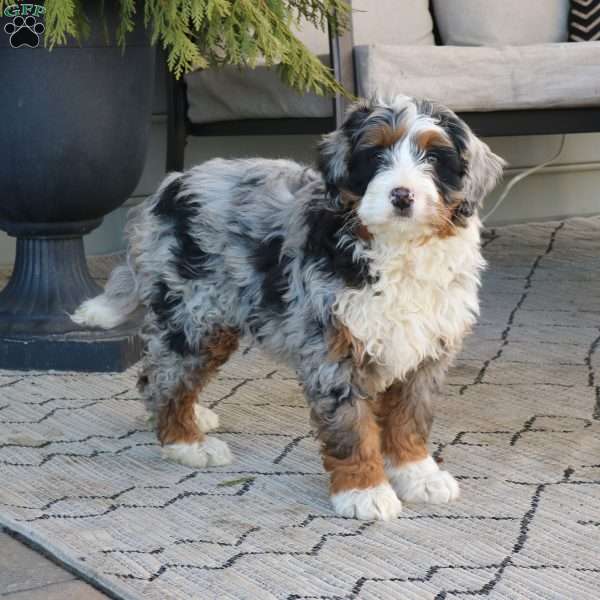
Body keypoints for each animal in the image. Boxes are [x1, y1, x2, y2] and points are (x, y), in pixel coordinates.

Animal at [72, 96, 504, 516]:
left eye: (434, 158)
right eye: (375, 155)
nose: (401, 195)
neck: (398, 249)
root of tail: (170, 185)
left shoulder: (427, 349)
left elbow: (410, 417)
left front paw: (418, 474)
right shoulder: (333, 348)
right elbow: (351, 424)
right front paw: (364, 491)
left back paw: (195, 419)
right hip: (194, 313)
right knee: (162, 378)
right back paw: (187, 443)